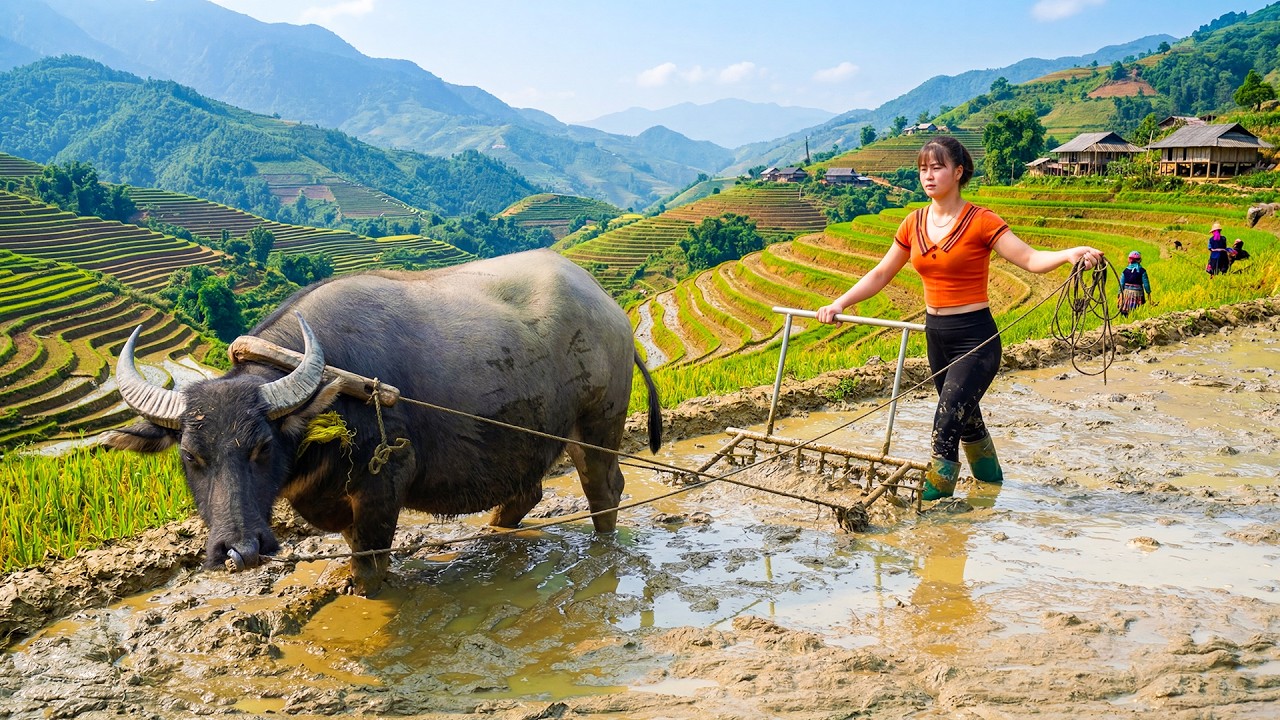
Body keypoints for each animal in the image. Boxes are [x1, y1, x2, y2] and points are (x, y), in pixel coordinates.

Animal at [102, 250, 662, 595]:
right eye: (192, 457)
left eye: (261, 448)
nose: (239, 550)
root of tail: (612, 311)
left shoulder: (383, 486)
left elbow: (370, 566)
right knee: (527, 492)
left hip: (598, 427)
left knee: (604, 489)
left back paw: (602, 546)